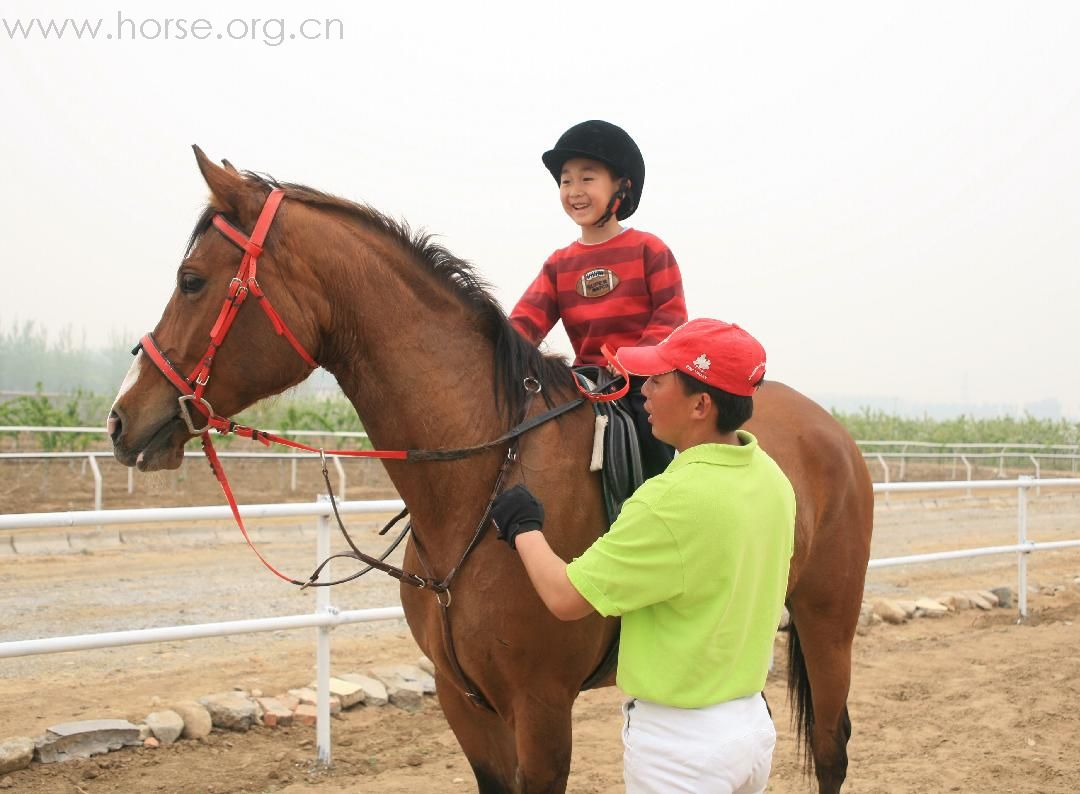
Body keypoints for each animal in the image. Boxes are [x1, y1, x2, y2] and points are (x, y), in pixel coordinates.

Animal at [107, 150, 868, 794]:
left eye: (191, 281)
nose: (120, 419)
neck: (480, 476)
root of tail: (832, 429)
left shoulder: (541, 707)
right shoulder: (463, 701)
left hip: (827, 619)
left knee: (832, 748)